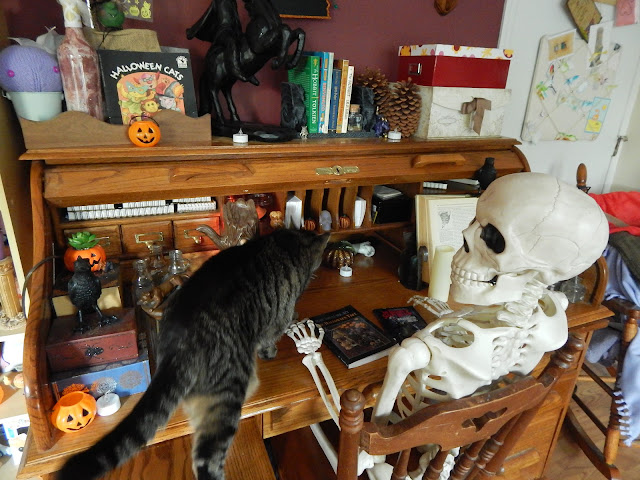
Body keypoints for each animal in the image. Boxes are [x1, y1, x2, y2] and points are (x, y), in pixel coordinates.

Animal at [58, 228, 329, 480]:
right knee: (206, 458)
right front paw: (273, 348)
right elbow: (273, 335)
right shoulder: (278, 316)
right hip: (227, 393)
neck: (286, 242)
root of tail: (178, 341)